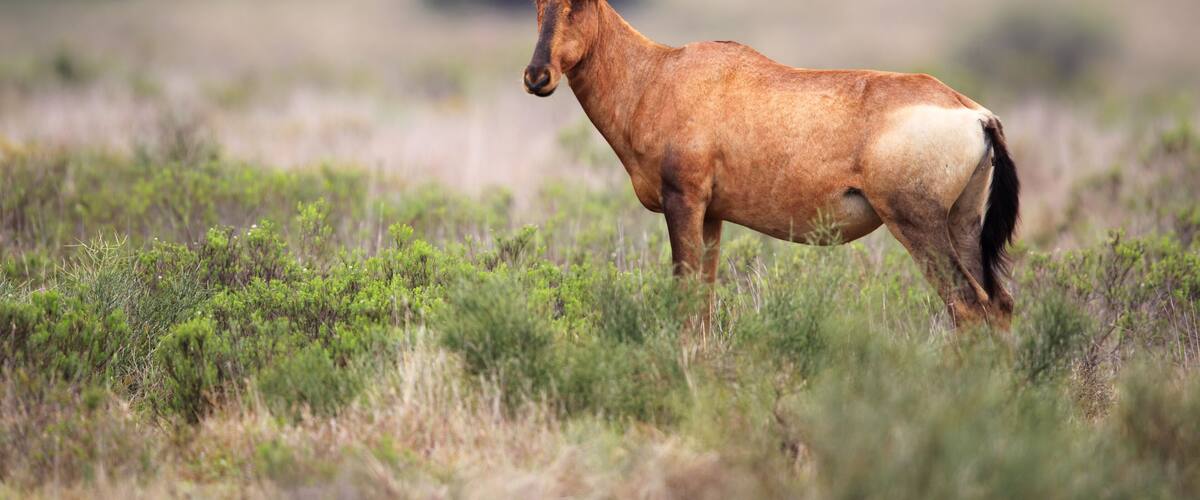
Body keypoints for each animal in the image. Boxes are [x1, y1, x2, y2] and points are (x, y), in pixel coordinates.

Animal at [522, 0, 1020, 331]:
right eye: (539, 3)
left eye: (578, 4)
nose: (536, 76)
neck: (659, 73)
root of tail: (976, 114)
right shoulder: (711, 215)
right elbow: (703, 303)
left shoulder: (683, 200)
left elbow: (686, 299)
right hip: (962, 222)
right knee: (999, 303)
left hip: (918, 224)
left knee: (966, 305)